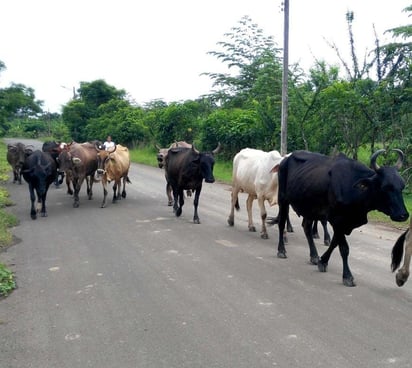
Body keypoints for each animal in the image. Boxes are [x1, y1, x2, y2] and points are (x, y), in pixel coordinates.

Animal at [276, 150, 408, 288]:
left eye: (402, 186)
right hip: (283, 199)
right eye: (386, 187)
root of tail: (286, 159)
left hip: (309, 209)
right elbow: (344, 248)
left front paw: (323, 261)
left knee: (306, 228)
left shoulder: (343, 224)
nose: (403, 215)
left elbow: (334, 243)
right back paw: (281, 250)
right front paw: (347, 276)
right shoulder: (337, 221)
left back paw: (314, 256)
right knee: (281, 223)